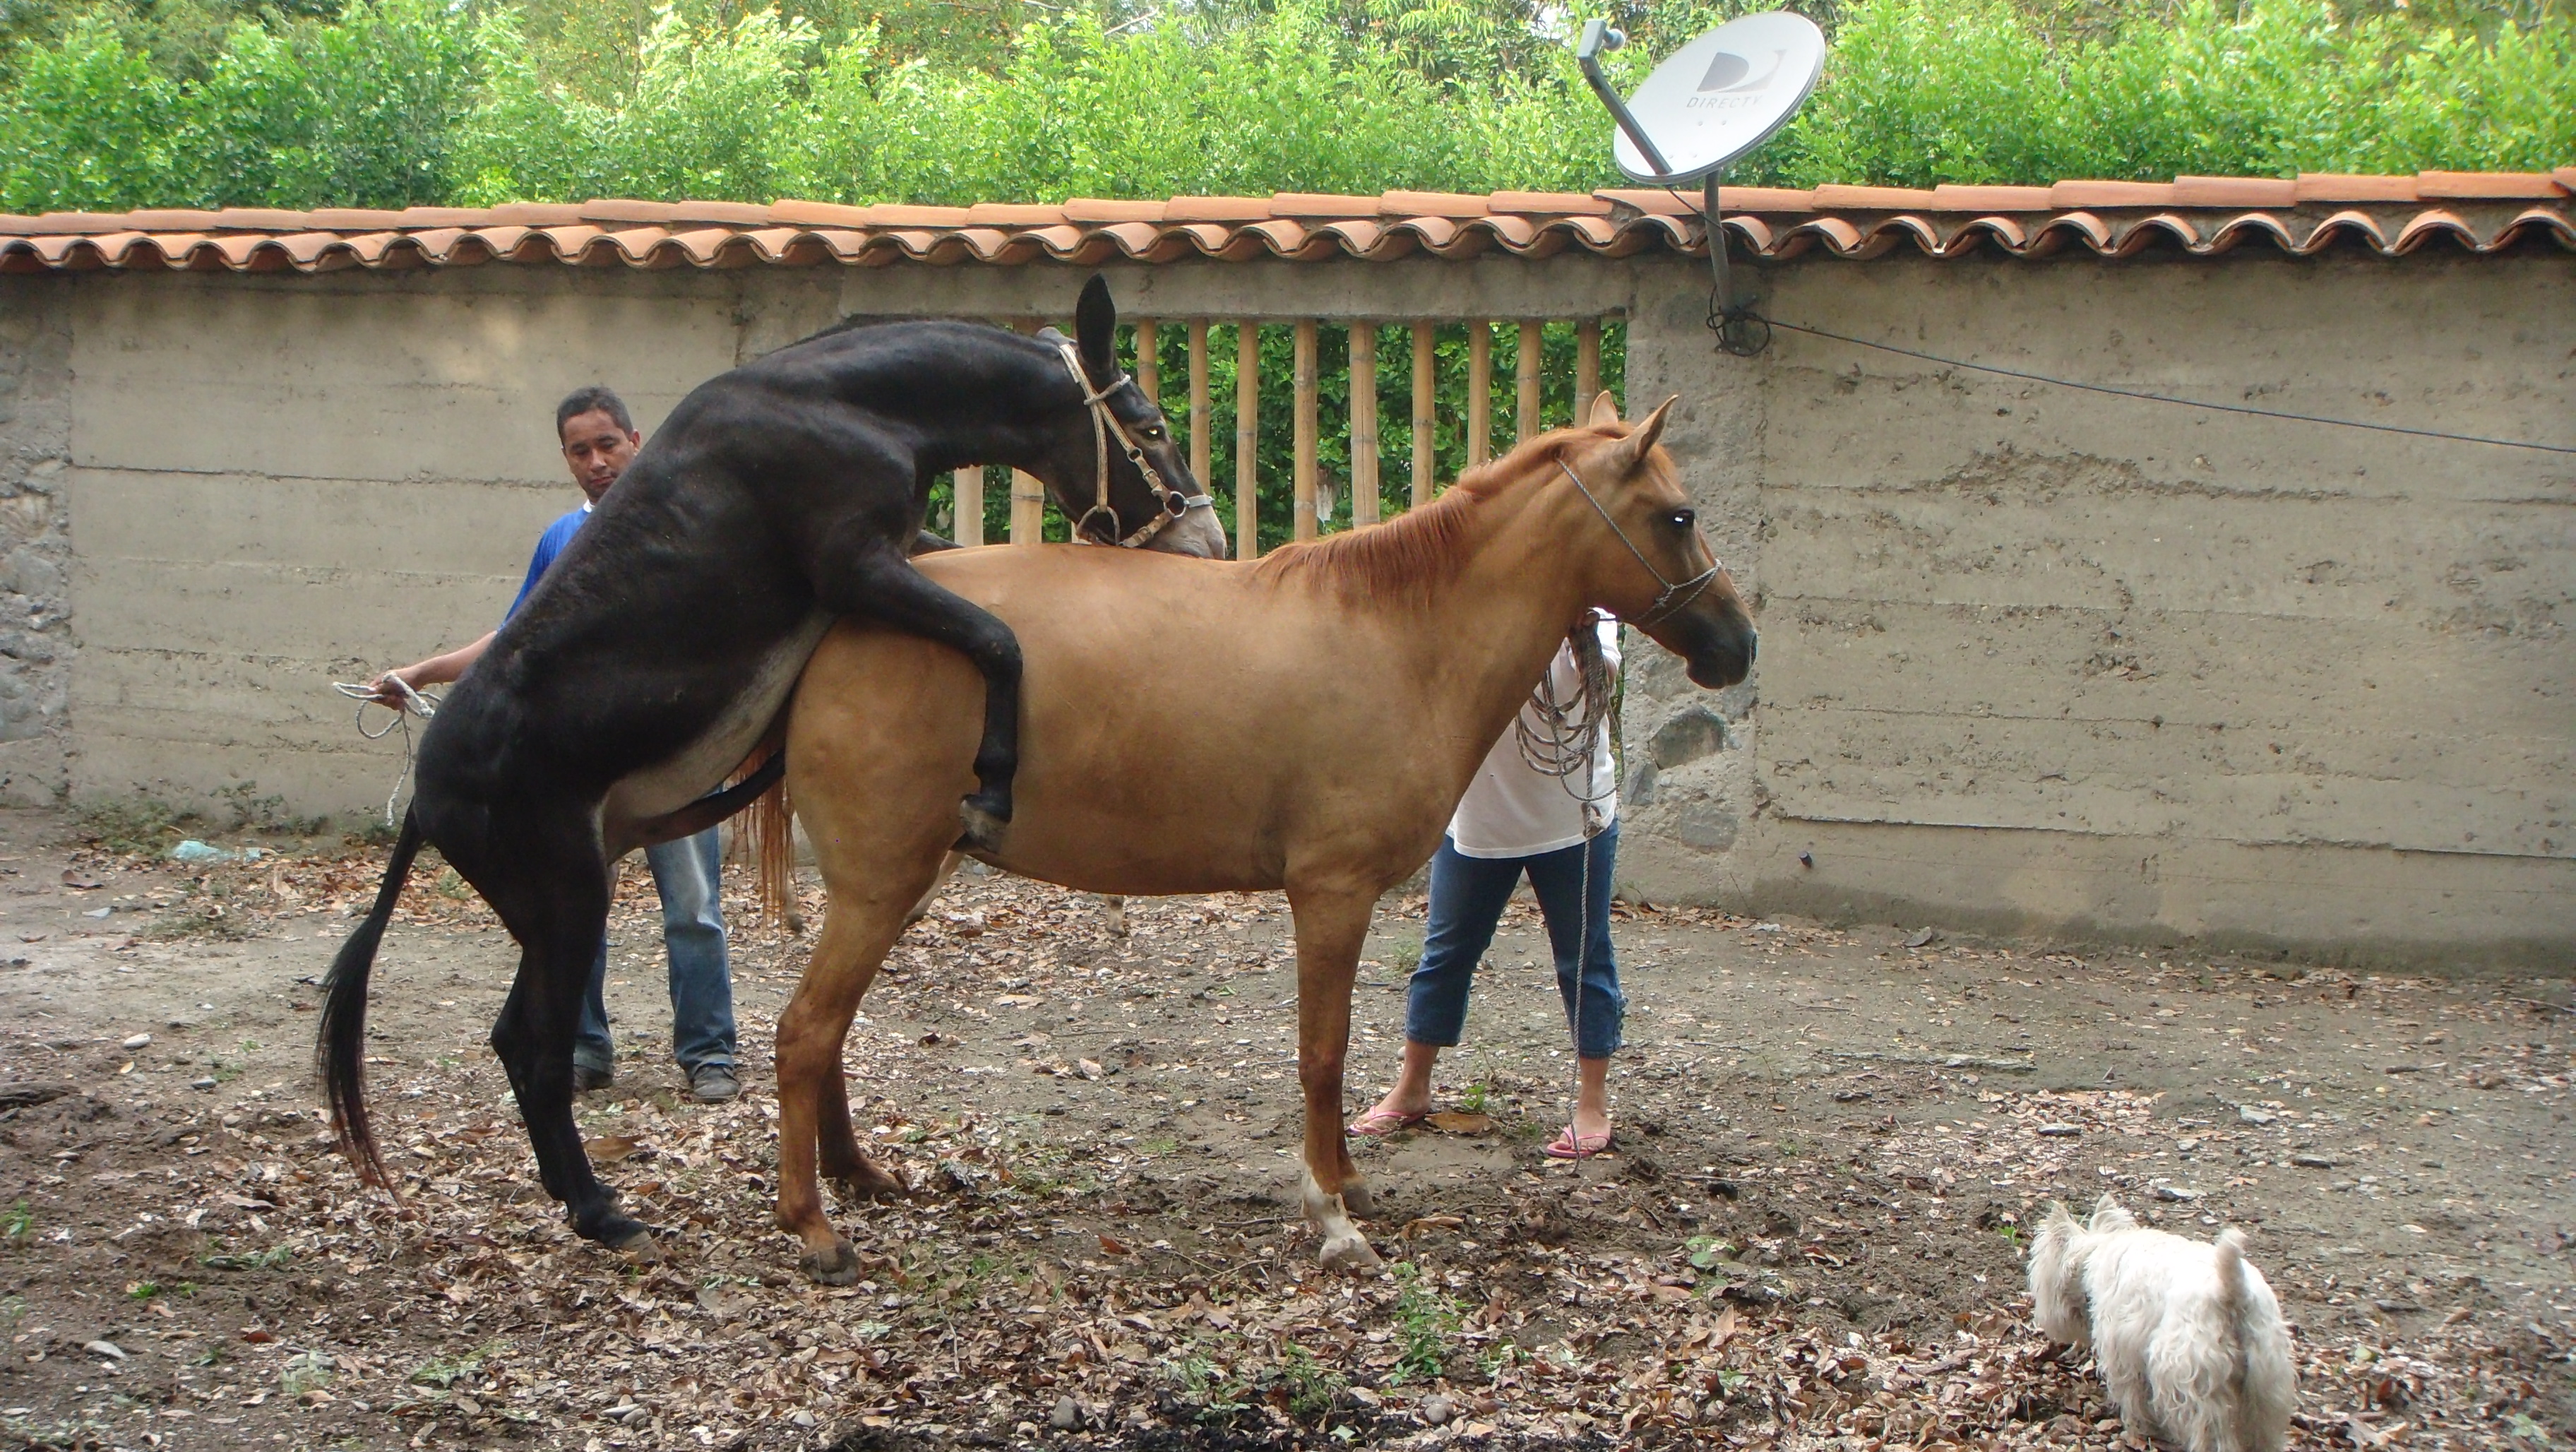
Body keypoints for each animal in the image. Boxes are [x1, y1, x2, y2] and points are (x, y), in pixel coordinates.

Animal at [2029, 1194, 2298, 1441]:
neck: (2095, 1254)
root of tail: (2231, 1290)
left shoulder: (2124, 1352)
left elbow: (2133, 1396)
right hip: (2266, 1384)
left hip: (2191, 1379)